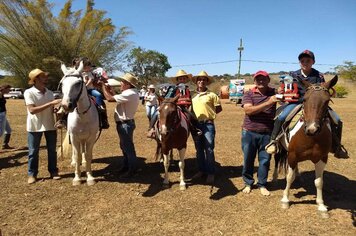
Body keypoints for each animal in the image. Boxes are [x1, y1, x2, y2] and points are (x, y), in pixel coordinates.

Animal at [278, 75, 340, 218]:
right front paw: (285, 200)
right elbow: (289, 177)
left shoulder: (322, 158)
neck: (311, 138)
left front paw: (321, 206)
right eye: (305, 99)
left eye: (327, 101)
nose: (312, 129)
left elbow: (319, 182)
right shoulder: (292, 155)